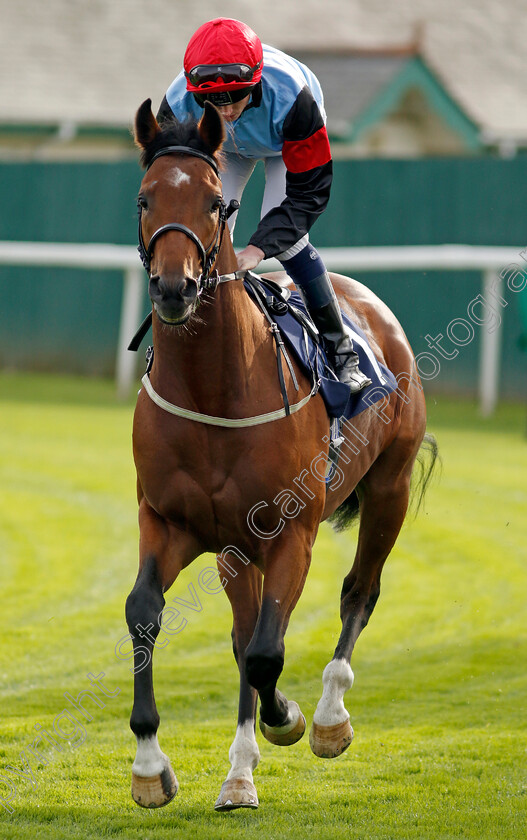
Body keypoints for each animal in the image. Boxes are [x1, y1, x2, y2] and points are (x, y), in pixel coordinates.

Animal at [126, 100, 440, 812]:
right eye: (145, 197)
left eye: (217, 203)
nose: (174, 289)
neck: (216, 389)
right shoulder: (173, 524)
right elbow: (146, 616)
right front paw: (151, 765)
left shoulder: (292, 531)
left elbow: (269, 653)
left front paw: (290, 719)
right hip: (238, 550)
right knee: (246, 632)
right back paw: (239, 775)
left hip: (389, 489)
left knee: (358, 592)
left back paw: (327, 717)